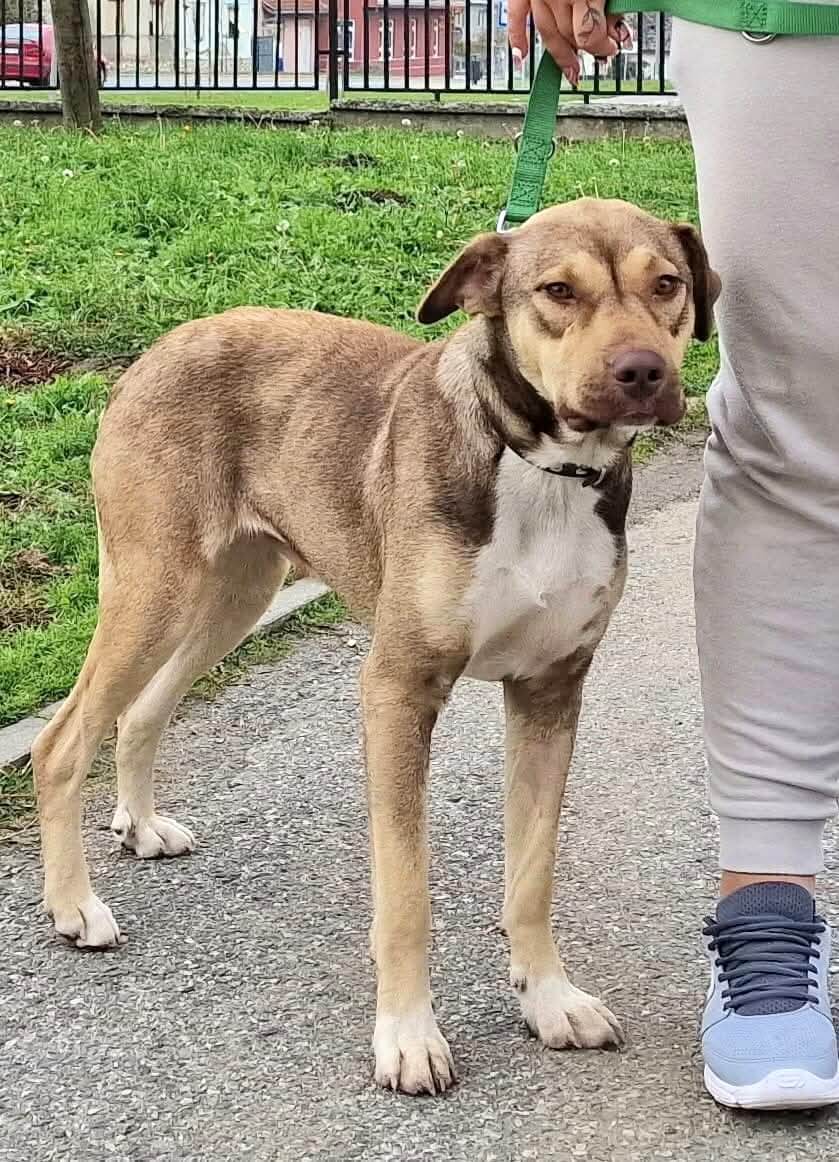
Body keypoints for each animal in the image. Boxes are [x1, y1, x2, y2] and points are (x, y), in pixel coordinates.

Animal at [32, 197, 719, 1095]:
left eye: (666, 284)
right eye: (557, 291)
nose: (641, 372)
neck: (538, 468)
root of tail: (165, 341)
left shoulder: (550, 688)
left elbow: (532, 875)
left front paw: (548, 999)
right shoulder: (398, 689)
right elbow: (405, 891)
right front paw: (407, 1035)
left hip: (233, 593)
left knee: (143, 711)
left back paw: (141, 825)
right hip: (156, 586)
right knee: (62, 741)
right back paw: (74, 907)